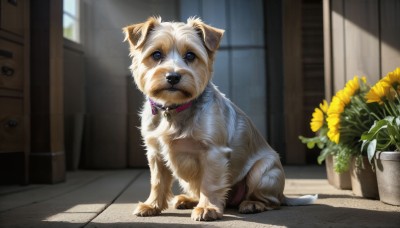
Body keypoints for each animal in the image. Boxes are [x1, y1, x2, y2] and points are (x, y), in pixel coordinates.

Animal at [123, 16, 318, 222]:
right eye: (156, 54)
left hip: (263, 172)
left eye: (190, 56)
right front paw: (151, 205)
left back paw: (252, 204)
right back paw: (188, 199)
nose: (173, 76)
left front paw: (207, 208)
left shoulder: (213, 152)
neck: (174, 108)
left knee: (271, 201)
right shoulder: (155, 153)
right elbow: (157, 181)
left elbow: (210, 182)